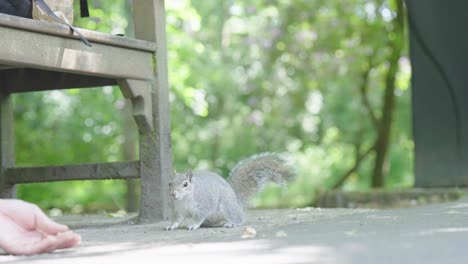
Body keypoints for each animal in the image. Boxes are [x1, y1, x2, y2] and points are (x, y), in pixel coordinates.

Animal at [165, 153, 294, 231]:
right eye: (169, 183)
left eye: (185, 184)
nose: (173, 194)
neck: (185, 199)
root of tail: (237, 200)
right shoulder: (179, 209)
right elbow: (177, 219)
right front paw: (171, 225)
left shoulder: (205, 203)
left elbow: (199, 216)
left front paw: (193, 224)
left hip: (227, 206)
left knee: (239, 218)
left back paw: (232, 223)